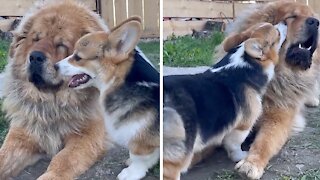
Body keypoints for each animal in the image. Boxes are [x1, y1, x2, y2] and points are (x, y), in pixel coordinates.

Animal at [0, 0, 110, 179]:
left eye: (61, 44)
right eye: (36, 39)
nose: (35, 56)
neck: (52, 104)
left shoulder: (87, 135)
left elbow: (63, 159)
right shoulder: (22, 133)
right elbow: (3, 156)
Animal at [225, 1, 320, 179]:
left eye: (314, 17)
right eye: (292, 16)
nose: (316, 22)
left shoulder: (278, 118)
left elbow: (265, 142)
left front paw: (251, 163)